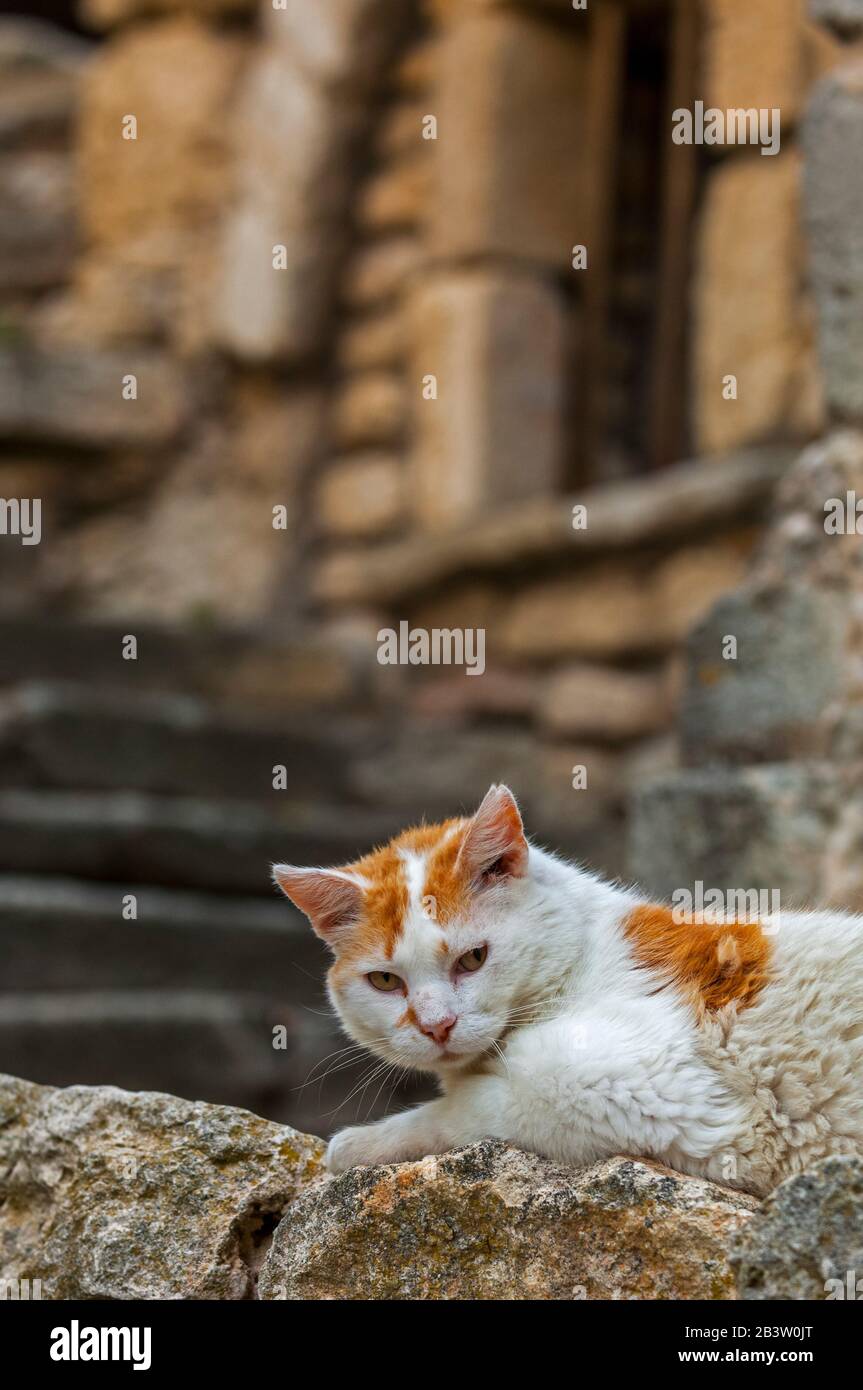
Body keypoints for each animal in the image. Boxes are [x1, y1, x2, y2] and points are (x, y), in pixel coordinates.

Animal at [273, 783, 861, 1195]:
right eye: (385, 981)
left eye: (473, 958)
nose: (436, 1026)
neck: (583, 951)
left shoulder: (651, 1086)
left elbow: (470, 1106)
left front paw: (361, 1142)